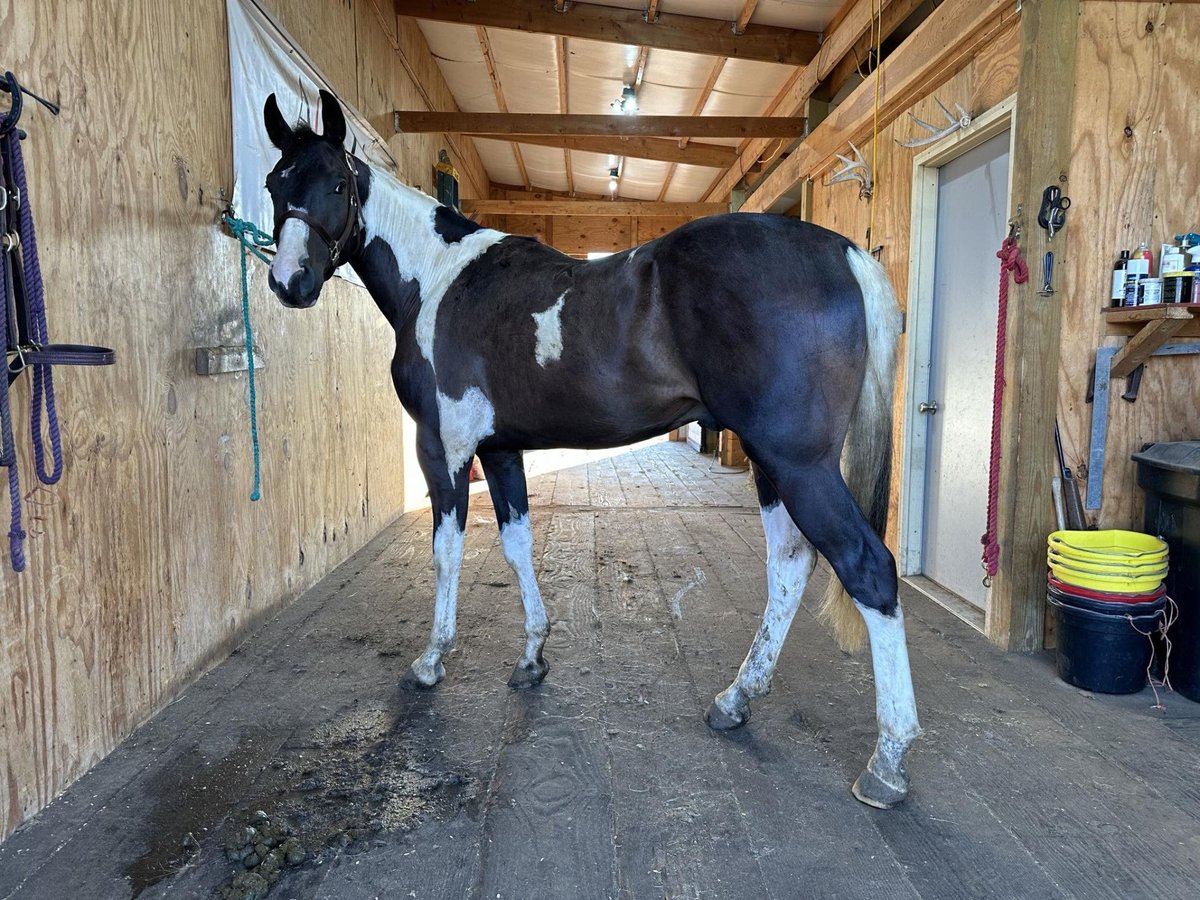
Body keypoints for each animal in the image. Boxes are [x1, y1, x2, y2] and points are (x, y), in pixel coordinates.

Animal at [260, 91, 916, 811]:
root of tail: (847, 254)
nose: (290, 282)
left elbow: (446, 550)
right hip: (774, 463)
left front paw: (431, 662)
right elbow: (517, 546)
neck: (435, 281)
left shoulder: (444, 448)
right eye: (274, 185)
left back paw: (887, 762)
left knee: (867, 568)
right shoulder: (501, 451)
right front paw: (532, 658)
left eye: (338, 184)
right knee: (792, 565)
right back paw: (736, 699)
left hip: (798, 464)